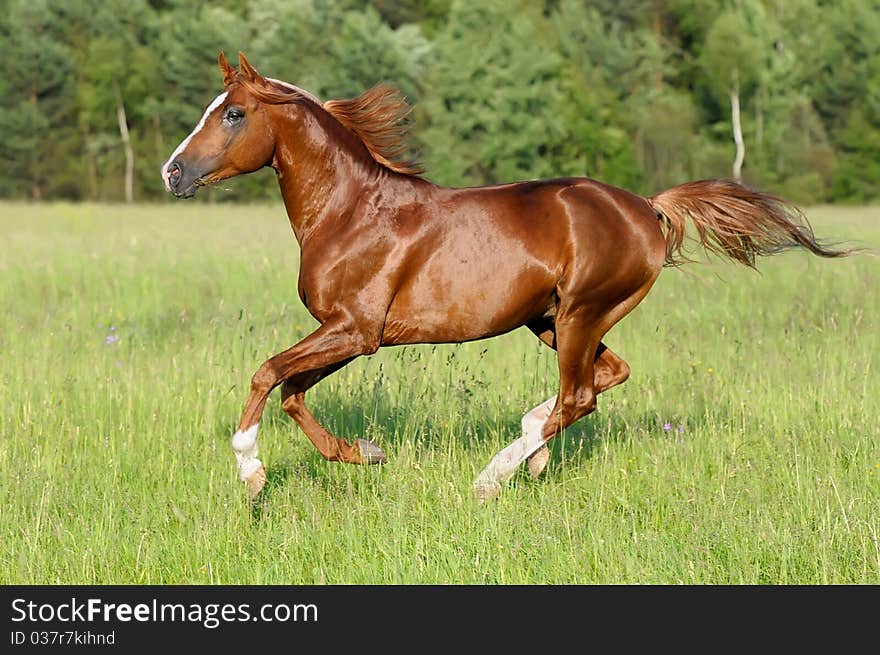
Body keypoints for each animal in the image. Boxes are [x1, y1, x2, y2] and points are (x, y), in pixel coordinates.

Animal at [162, 52, 848, 502]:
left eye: (233, 114)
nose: (173, 173)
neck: (351, 211)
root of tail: (648, 209)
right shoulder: (348, 333)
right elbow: (292, 393)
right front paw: (366, 455)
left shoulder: (354, 330)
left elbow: (267, 373)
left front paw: (251, 474)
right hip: (552, 320)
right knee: (604, 380)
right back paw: (531, 451)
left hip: (579, 313)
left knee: (580, 394)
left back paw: (494, 475)